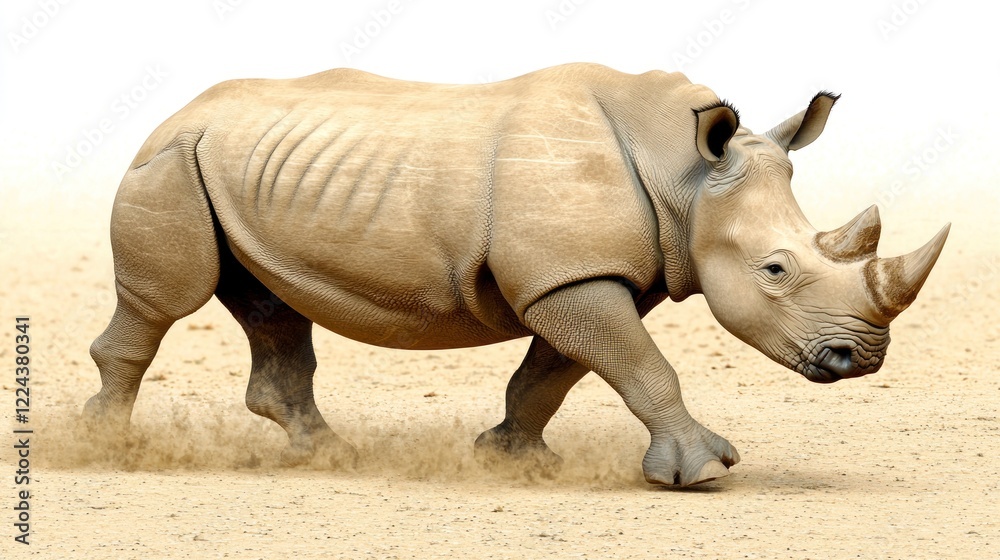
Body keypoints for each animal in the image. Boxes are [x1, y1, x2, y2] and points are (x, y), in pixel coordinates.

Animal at [84, 63, 949, 486]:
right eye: (775, 268)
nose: (862, 359)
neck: (685, 175)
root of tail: (176, 111)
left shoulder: (582, 275)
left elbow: (555, 373)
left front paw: (513, 459)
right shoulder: (568, 276)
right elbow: (644, 367)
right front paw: (704, 472)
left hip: (238, 169)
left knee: (269, 301)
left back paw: (329, 455)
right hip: (170, 161)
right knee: (166, 302)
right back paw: (106, 447)